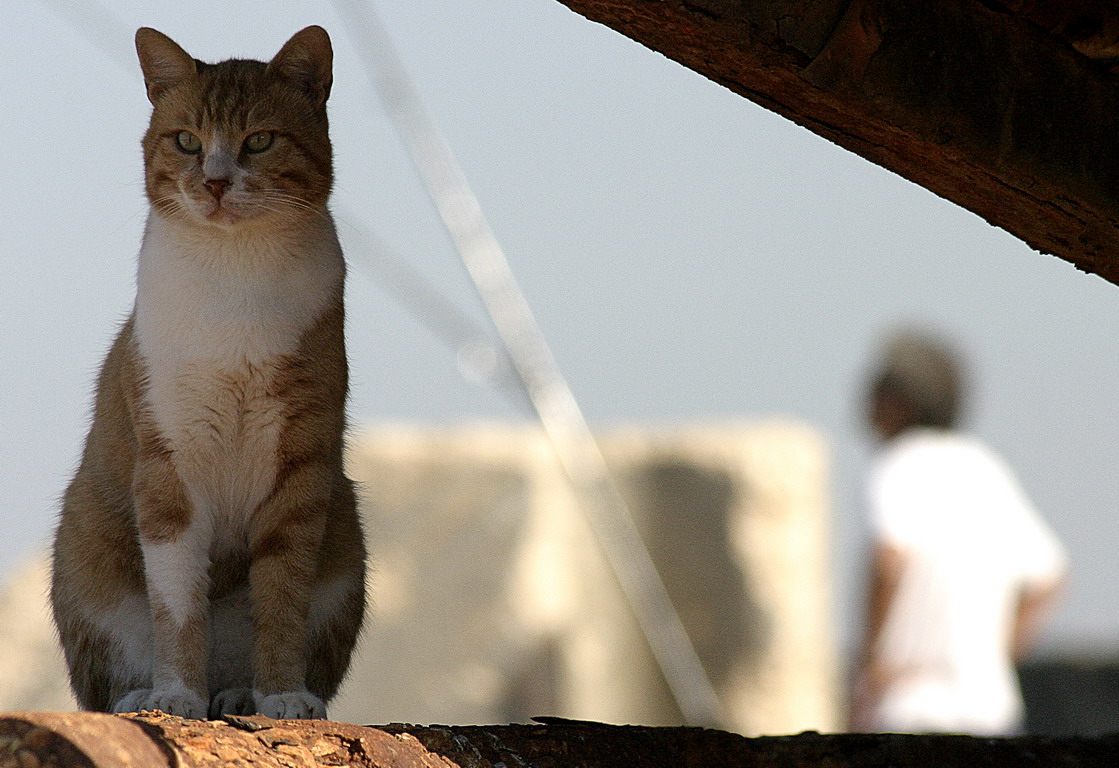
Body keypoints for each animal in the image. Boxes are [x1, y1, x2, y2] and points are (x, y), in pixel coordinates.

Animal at [50, 24, 364, 720]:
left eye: (260, 140)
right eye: (187, 141)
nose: (217, 182)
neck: (234, 272)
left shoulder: (300, 468)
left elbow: (282, 598)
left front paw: (281, 693)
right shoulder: (170, 464)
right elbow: (178, 606)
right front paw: (175, 695)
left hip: (346, 544)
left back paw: (241, 694)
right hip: (85, 560)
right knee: (112, 670)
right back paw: (149, 694)